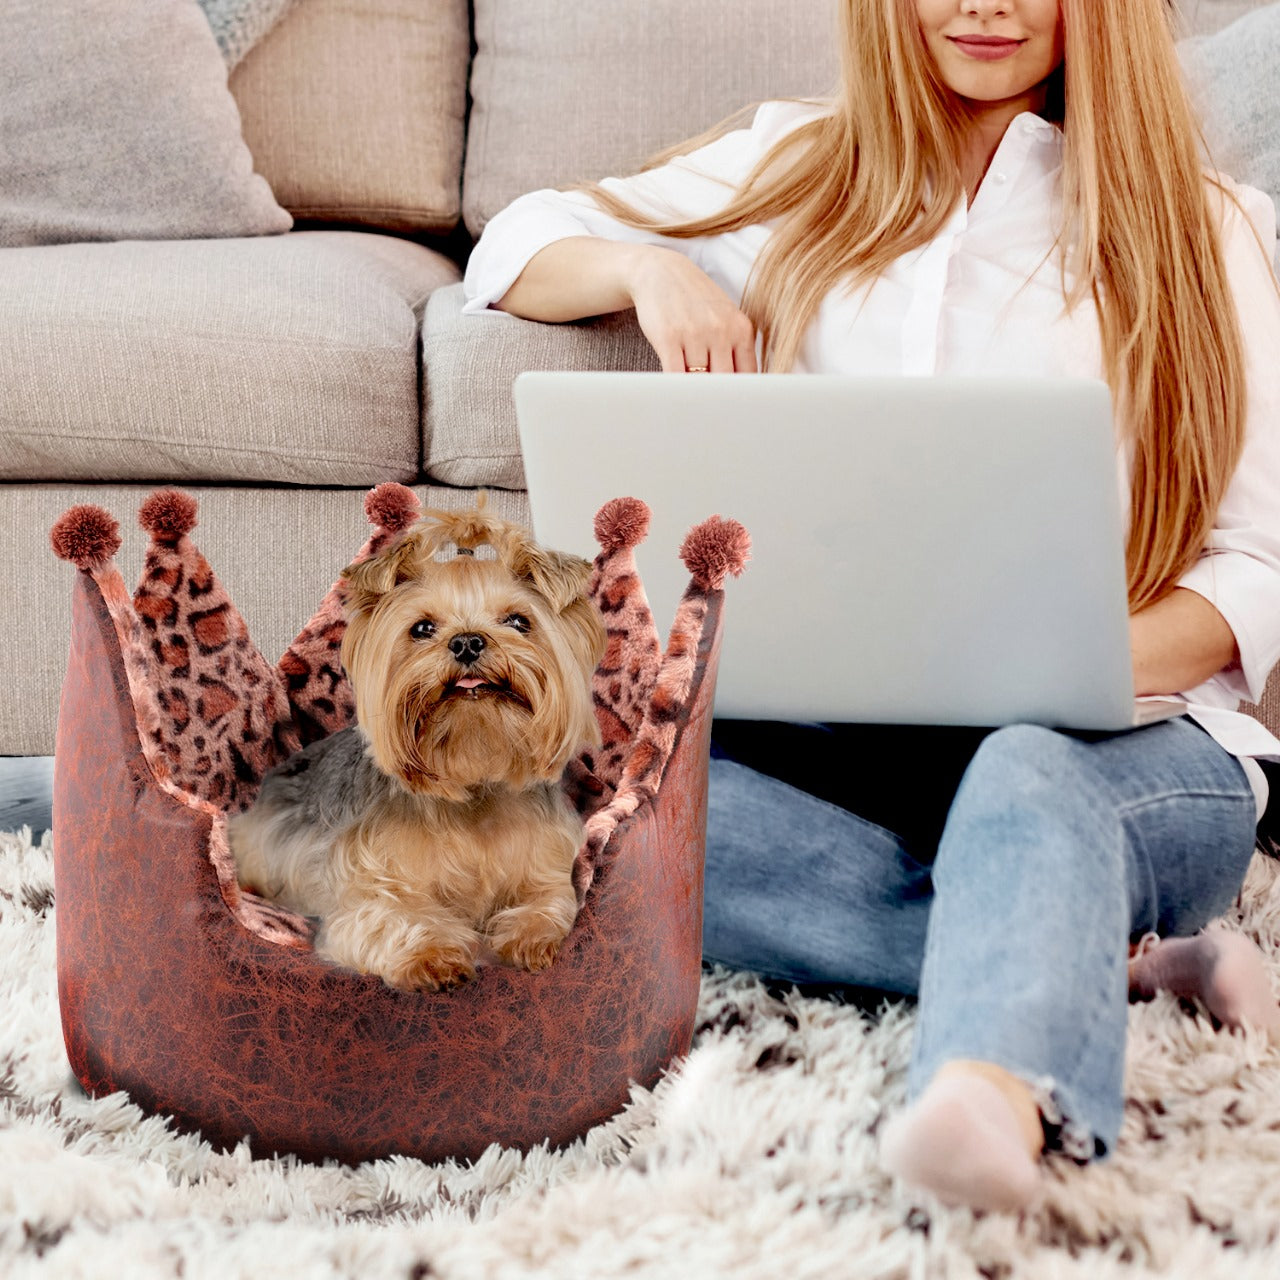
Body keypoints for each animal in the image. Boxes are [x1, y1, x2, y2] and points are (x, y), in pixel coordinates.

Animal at [229, 506, 604, 988]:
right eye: (422, 628)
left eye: (519, 621)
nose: (467, 641)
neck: (473, 780)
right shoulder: (366, 888)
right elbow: (388, 917)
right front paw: (433, 954)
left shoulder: (549, 864)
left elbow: (550, 901)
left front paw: (532, 937)